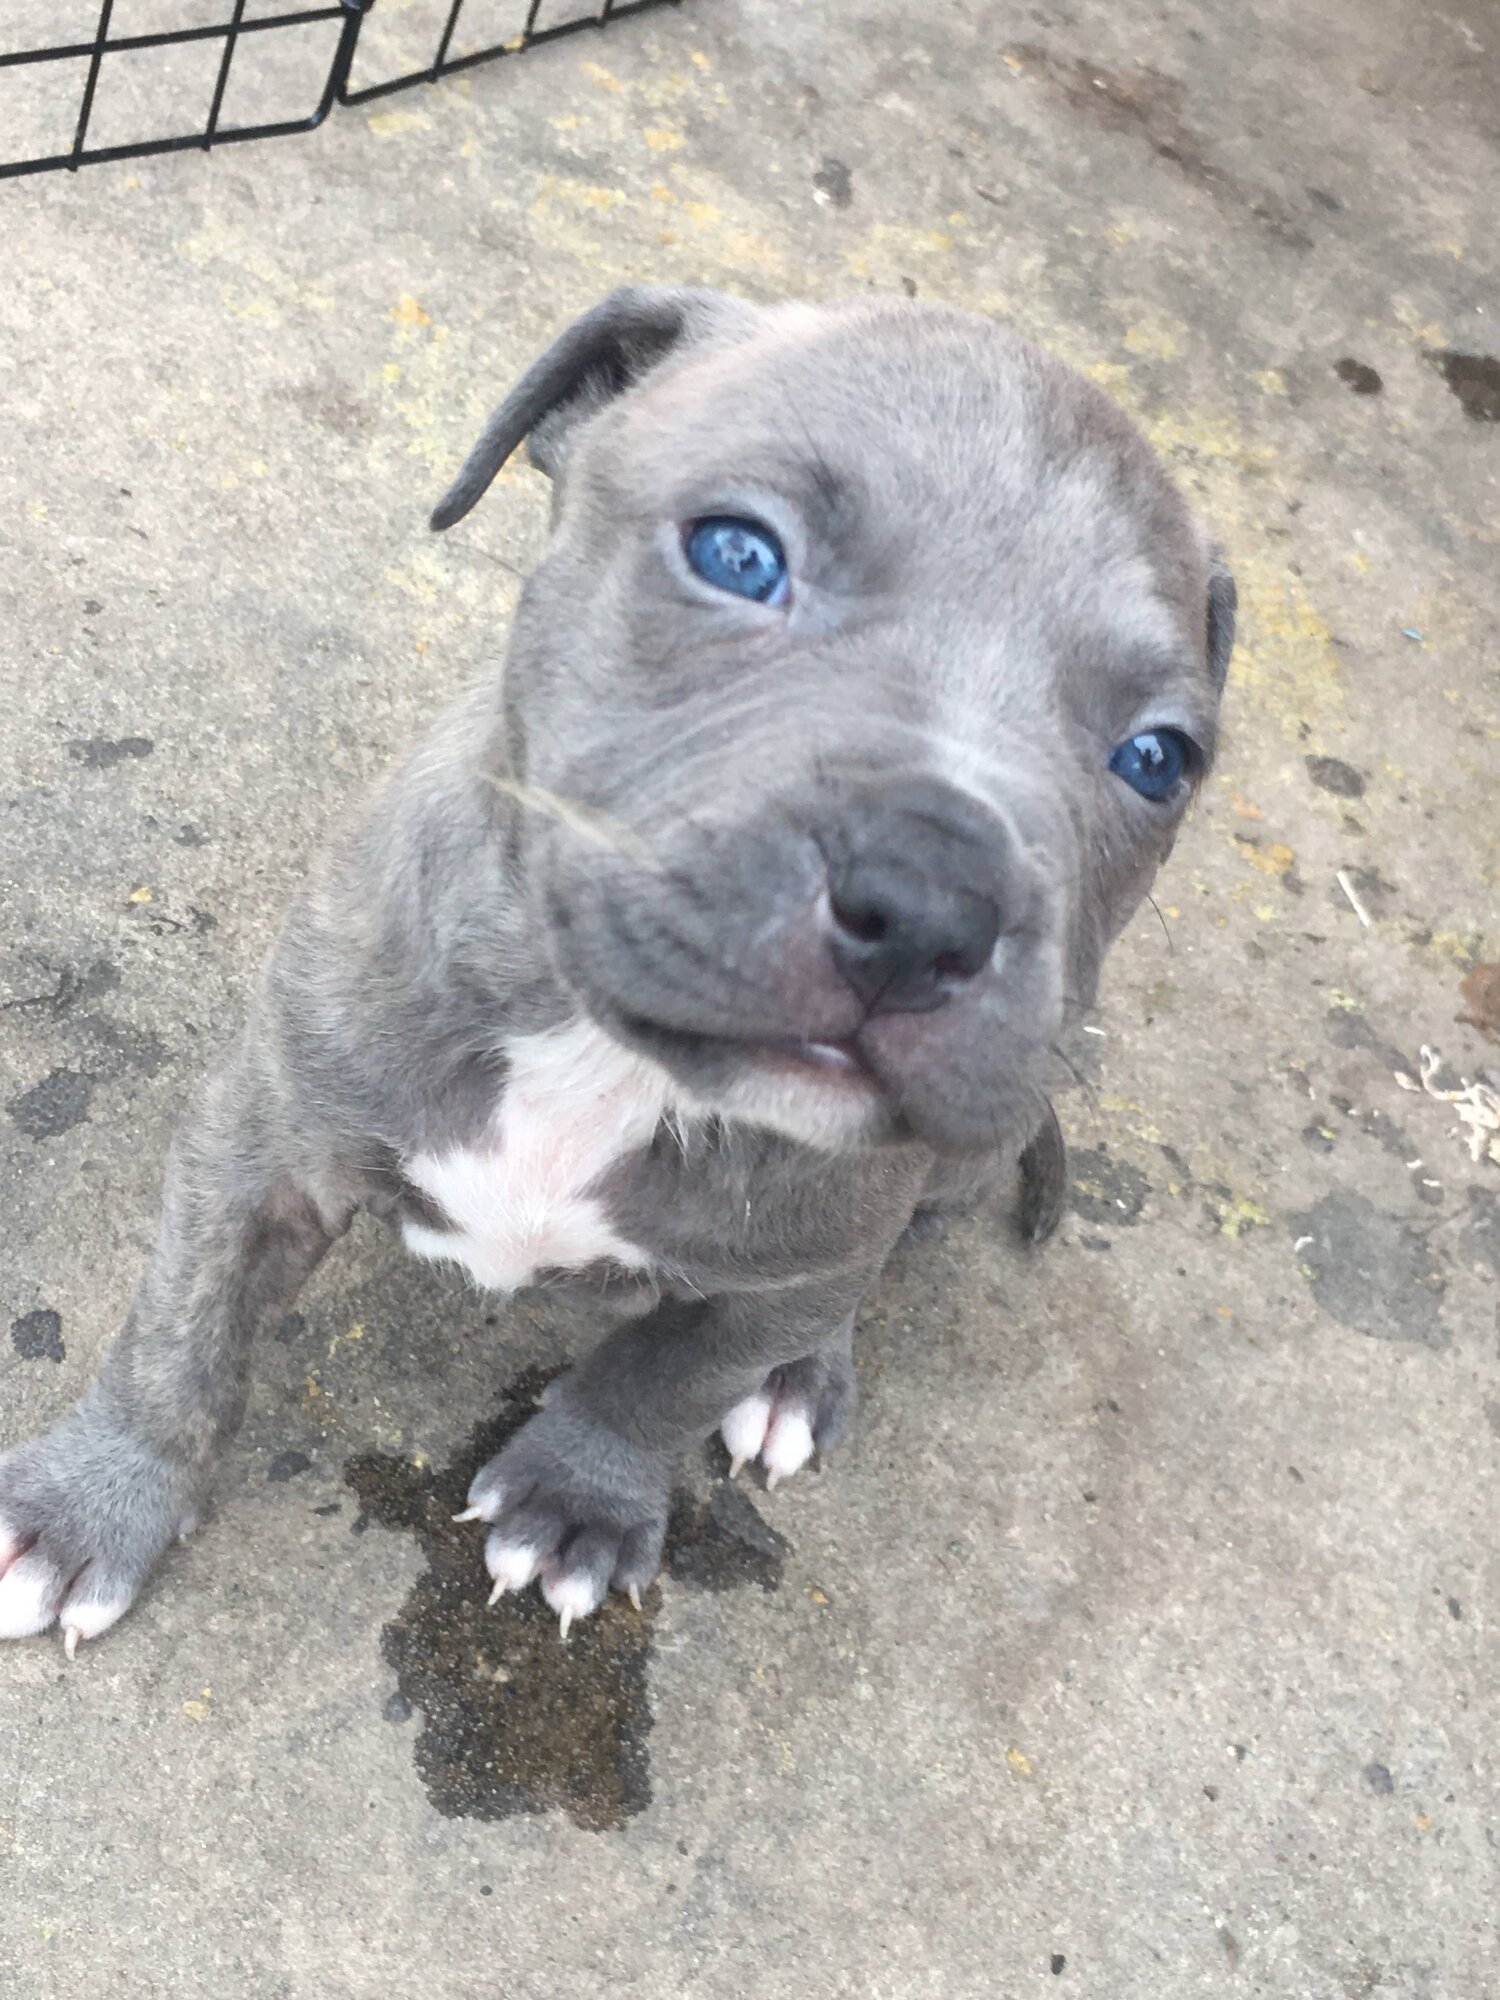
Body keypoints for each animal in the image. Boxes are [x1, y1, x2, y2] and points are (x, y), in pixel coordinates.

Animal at [0, 286, 1232, 1656]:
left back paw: (803, 1374)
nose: (929, 904)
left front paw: (577, 1498)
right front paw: (91, 1504)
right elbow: (181, 1335)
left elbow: (666, 1379)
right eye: (739, 555)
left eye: (1158, 760)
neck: (606, 1053)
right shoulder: (262, 1139)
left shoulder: (783, 1267)